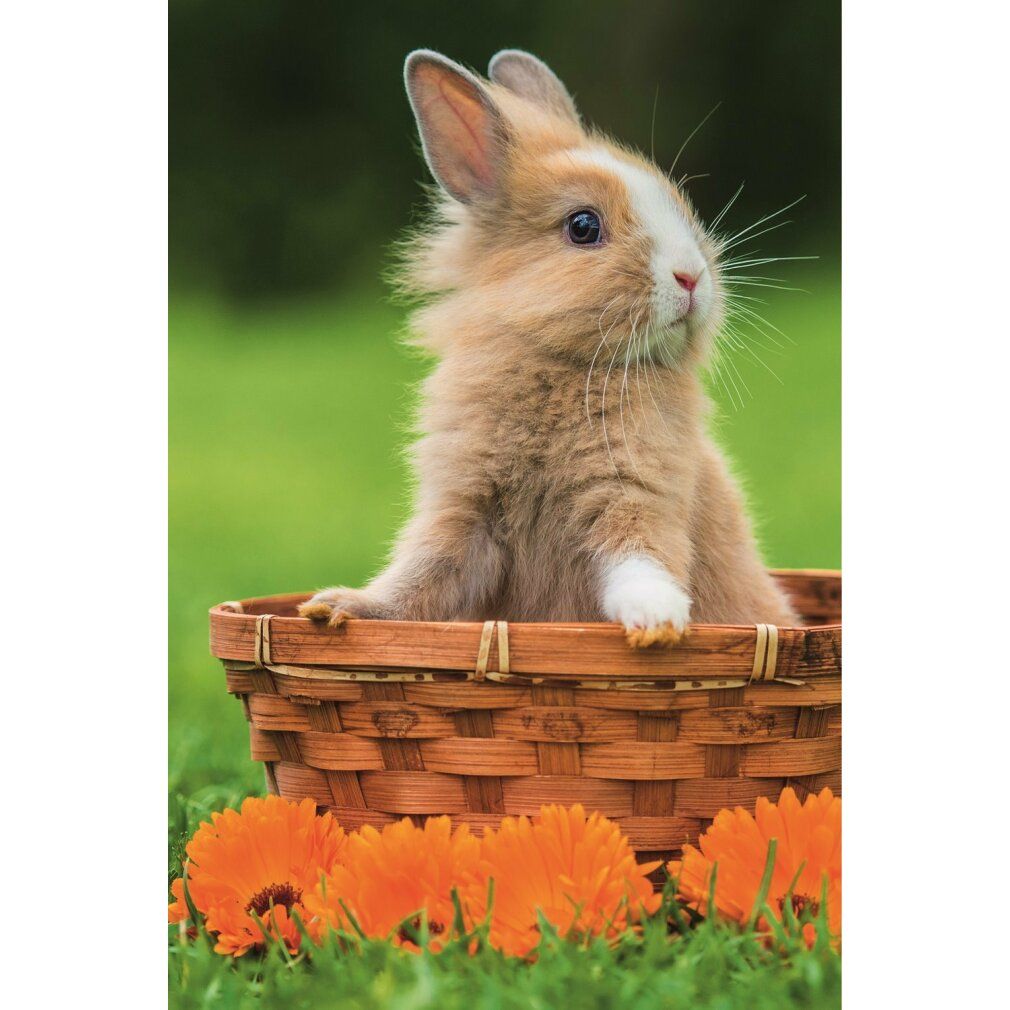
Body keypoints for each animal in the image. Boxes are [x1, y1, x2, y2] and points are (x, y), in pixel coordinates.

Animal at [299, 48, 798, 645]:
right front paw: (337, 607)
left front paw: (657, 624)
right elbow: (420, 578)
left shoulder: (638, 494)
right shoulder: (462, 514)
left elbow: (642, 558)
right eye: (583, 226)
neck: (562, 365)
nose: (691, 278)